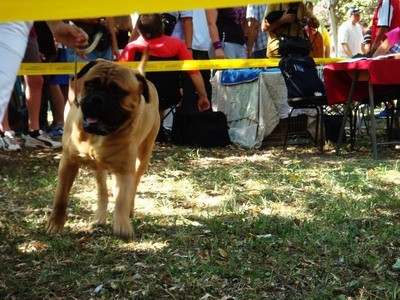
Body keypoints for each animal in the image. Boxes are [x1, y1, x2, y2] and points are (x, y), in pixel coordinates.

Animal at [45, 54, 159, 241]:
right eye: (90, 85)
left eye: (117, 91)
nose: (96, 99)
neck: (96, 136)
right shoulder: (68, 162)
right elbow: (60, 196)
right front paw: (55, 224)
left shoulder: (124, 170)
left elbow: (122, 200)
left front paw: (122, 226)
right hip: (99, 168)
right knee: (103, 191)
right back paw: (100, 216)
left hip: (142, 158)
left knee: (132, 189)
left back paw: (127, 211)